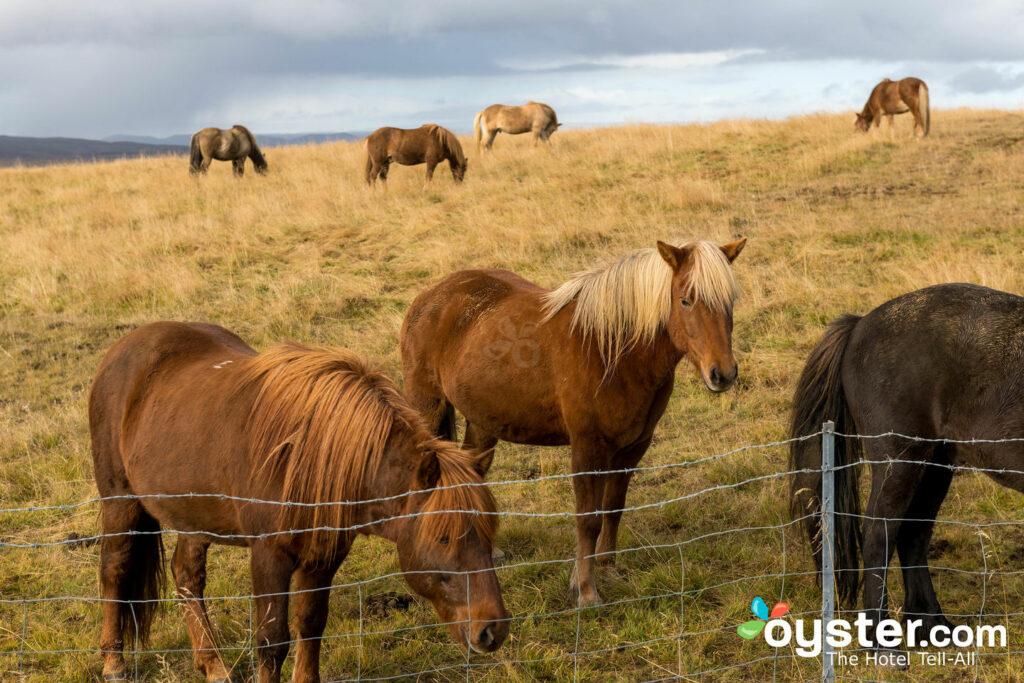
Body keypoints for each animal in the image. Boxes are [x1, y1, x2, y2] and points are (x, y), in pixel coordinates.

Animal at [90, 321, 505, 683]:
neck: (313, 452)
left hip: (193, 514)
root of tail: (121, 349)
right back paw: (114, 664)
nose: (493, 630)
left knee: (187, 575)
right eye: (443, 539)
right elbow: (272, 642)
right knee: (115, 568)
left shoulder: (324, 556)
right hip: (120, 501)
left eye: (488, 533)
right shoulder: (269, 556)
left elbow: (310, 625)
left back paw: (213, 665)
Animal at [399, 239, 745, 602]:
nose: (722, 374)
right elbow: (588, 519)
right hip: (427, 408)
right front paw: (586, 590)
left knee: (471, 472)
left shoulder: (633, 447)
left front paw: (607, 570)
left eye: (730, 301)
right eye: (685, 300)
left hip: (483, 421)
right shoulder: (587, 448)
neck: (613, 352)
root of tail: (429, 295)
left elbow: (613, 508)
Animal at [790, 286, 1024, 651]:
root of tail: (860, 325)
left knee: (913, 536)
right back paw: (880, 640)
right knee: (878, 537)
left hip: (934, 464)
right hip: (899, 463)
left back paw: (932, 625)